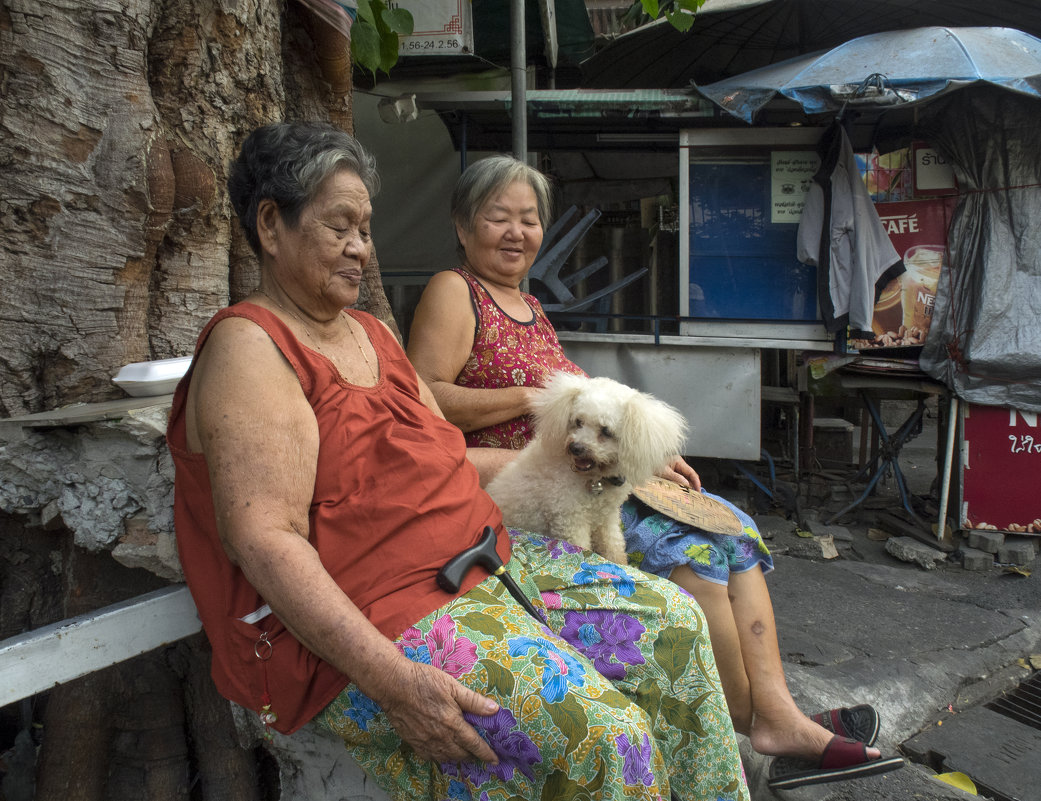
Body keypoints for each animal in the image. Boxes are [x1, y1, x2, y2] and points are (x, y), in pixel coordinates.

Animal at [487, 370, 691, 562]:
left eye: (606, 431)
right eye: (578, 422)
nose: (575, 448)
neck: (596, 480)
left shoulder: (607, 517)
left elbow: (614, 545)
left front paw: (621, 563)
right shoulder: (570, 519)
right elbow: (581, 549)